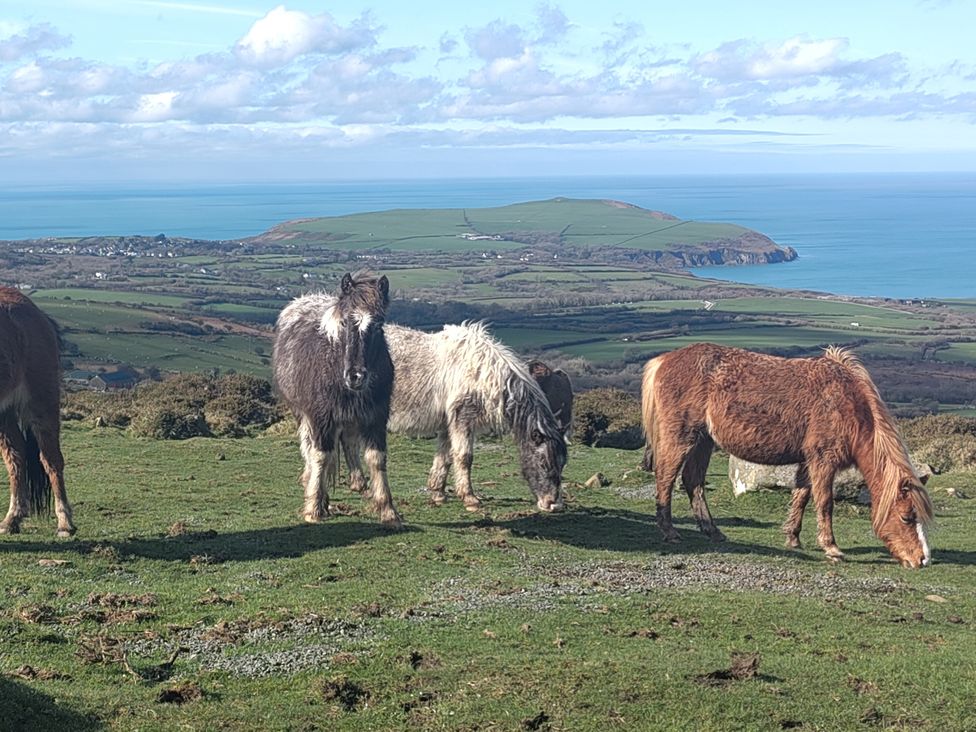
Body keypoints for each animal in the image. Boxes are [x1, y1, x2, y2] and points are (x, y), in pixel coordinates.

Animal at [0, 287, 75, 537]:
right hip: (5, 412)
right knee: (16, 455)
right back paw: (12, 519)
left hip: (42, 403)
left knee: (51, 459)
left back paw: (65, 523)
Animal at [272, 272, 401, 526]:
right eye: (344, 322)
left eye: (378, 324)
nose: (355, 376)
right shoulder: (321, 418)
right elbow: (321, 456)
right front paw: (314, 507)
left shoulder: (376, 417)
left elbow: (376, 458)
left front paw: (387, 510)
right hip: (304, 415)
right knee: (311, 448)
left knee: (347, 443)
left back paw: (357, 482)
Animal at [342, 322, 567, 512]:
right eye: (544, 463)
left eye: (563, 464)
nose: (553, 504)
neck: (483, 373)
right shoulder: (463, 419)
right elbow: (464, 457)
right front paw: (470, 498)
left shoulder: (448, 424)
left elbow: (445, 457)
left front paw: (438, 492)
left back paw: (359, 485)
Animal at [641, 343, 933, 568]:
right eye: (907, 517)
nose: (922, 560)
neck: (846, 402)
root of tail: (663, 360)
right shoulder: (823, 461)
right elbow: (824, 502)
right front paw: (832, 548)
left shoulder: (807, 461)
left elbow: (801, 496)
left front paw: (793, 538)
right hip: (682, 438)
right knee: (666, 478)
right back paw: (669, 531)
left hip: (704, 442)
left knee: (693, 482)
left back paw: (713, 532)